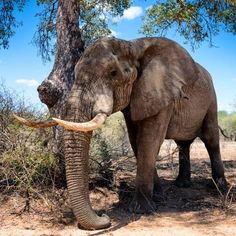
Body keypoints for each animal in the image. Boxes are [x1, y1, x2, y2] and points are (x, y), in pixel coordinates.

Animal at [13, 37, 228, 230]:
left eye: (113, 73)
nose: (104, 216)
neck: (133, 45)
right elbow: (135, 141)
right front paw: (158, 197)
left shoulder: (161, 93)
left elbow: (149, 140)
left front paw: (142, 210)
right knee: (183, 144)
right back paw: (182, 186)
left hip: (211, 98)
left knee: (210, 138)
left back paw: (219, 188)